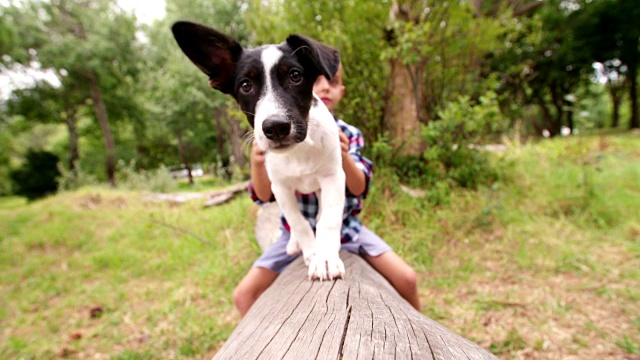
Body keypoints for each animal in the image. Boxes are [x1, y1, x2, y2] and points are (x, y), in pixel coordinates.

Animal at [171, 21, 344, 282]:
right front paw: (312, 252)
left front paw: (325, 258)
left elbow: (328, 219)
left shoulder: (333, 176)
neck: (299, 151)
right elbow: (298, 222)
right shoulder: (280, 187)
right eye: (246, 85)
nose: (276, 127)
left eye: (295, 76)